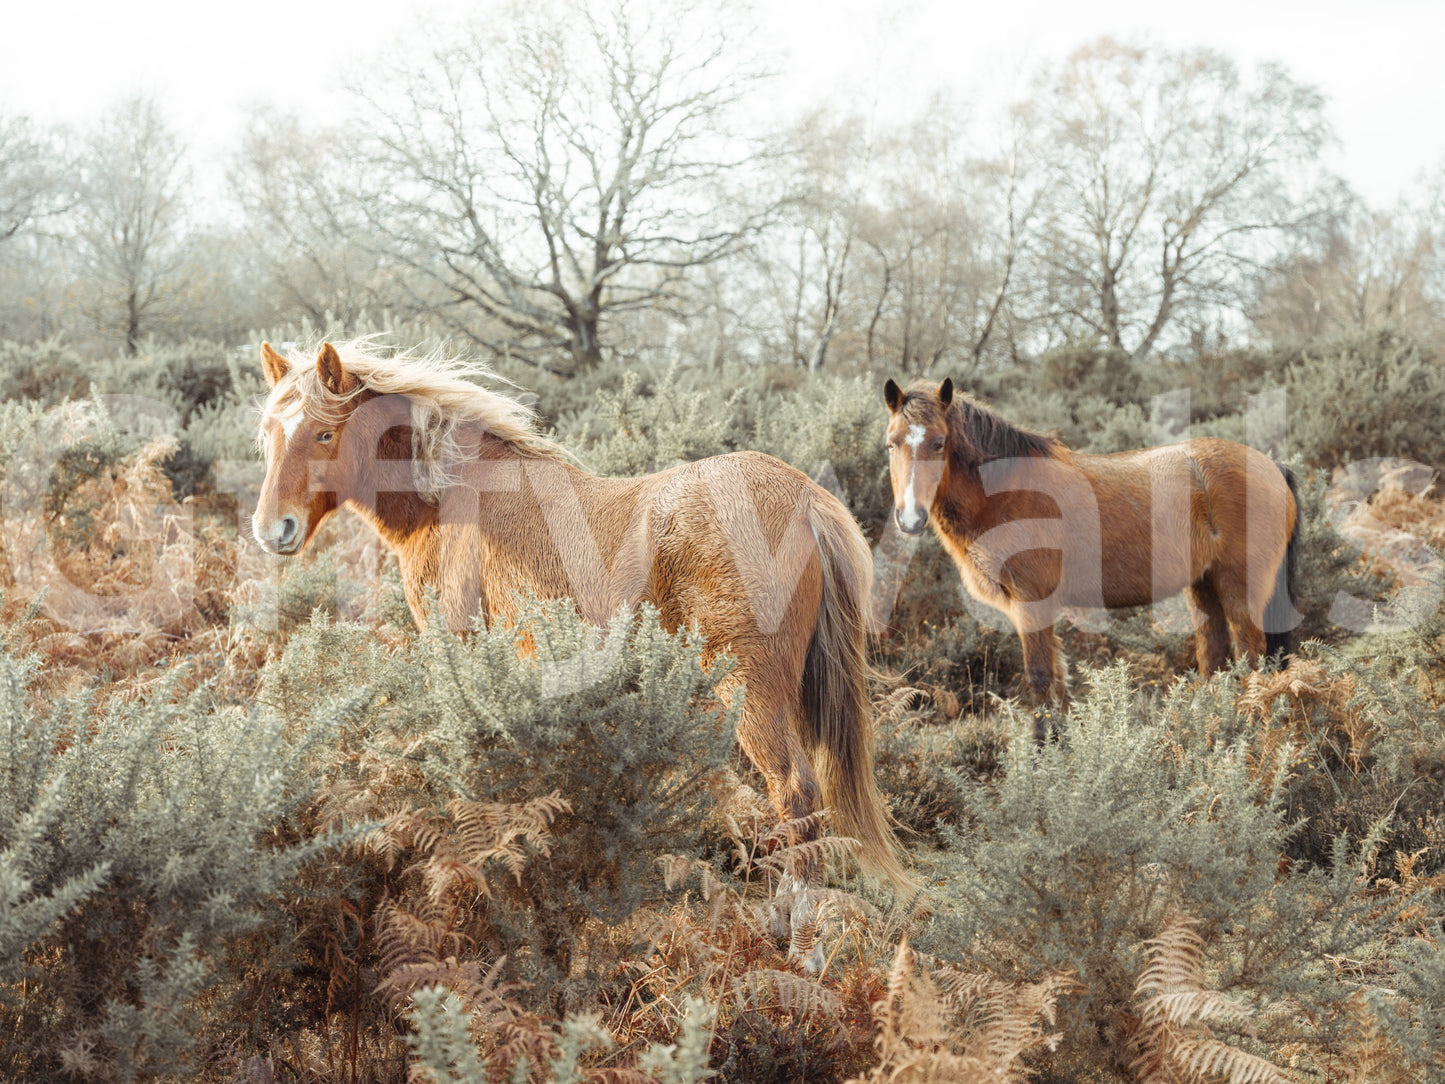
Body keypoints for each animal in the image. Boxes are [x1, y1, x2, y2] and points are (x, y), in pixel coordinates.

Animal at [251, 341, 911, 945]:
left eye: (325, 433)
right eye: (268, 436)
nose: (271, 530)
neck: (452, 495)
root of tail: (805, 498)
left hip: (752, 691)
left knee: (795, 792)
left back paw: (796, 935)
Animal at [882, 378, 1300, 736]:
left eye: (939, 443)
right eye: (891, 443)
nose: (910, 518)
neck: (1006, 489)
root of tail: (1272, 466)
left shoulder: (1032, 604)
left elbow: (1039, 676)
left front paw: (1042, 751)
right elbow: (1058, 679)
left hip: (1239, 591)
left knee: (1251, 657)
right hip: (1203, 587)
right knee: (1214, 656)